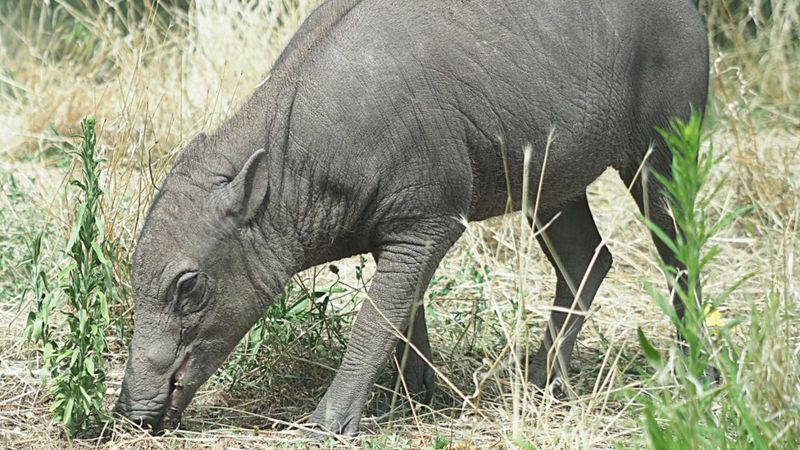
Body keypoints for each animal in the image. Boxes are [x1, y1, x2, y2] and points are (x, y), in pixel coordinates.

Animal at [114, 0, 708, 438]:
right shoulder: (395, 234)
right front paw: (416, 396)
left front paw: (328, 423)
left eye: (189, 286)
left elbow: (376, 319)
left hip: (662, 154)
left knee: (678, 253)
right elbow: (406, 312)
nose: (128, 413)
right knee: (589, 259)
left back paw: (695, 368)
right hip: (551, 181)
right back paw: (541, 382)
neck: (296, 156)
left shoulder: (429, 222)